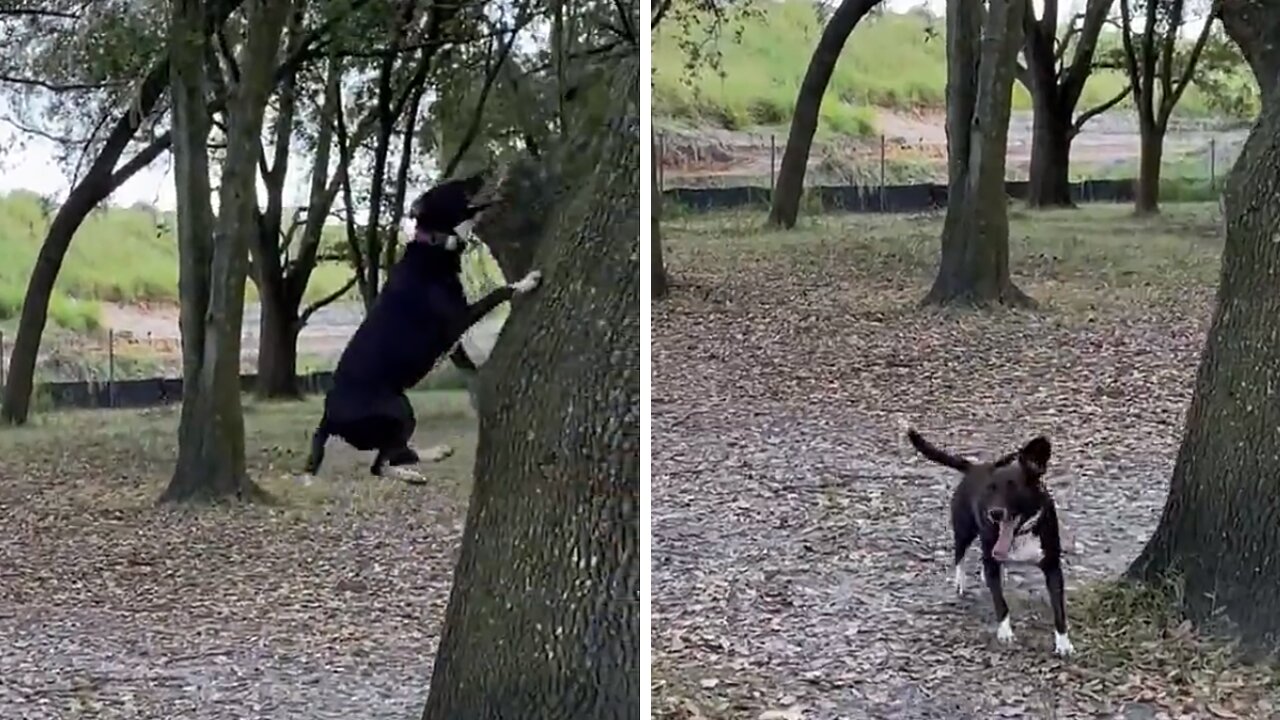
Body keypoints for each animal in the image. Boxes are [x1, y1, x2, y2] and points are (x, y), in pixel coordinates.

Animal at [302, 172, 542, 481]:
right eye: (456, 187)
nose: (485, 172)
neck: (433, 245)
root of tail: (327, 418)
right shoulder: (459, 319)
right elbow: (499, 292)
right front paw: (526, 282)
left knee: (391, 458)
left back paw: (424, 462)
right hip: (400, 409)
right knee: (386, 460)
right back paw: (419, 467)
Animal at [906, 425, 1075, 655]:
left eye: (1013, 486)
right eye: (990, 488)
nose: (994, 513)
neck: (1020, 534)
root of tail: (974, 467)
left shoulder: (1052, 567)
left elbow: (1059, 609)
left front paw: (1063, 643)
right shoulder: (990, 558)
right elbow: (1000, 602)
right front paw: (1005, 632)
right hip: (964, 530)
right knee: (959, 554)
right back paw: (960, 581)